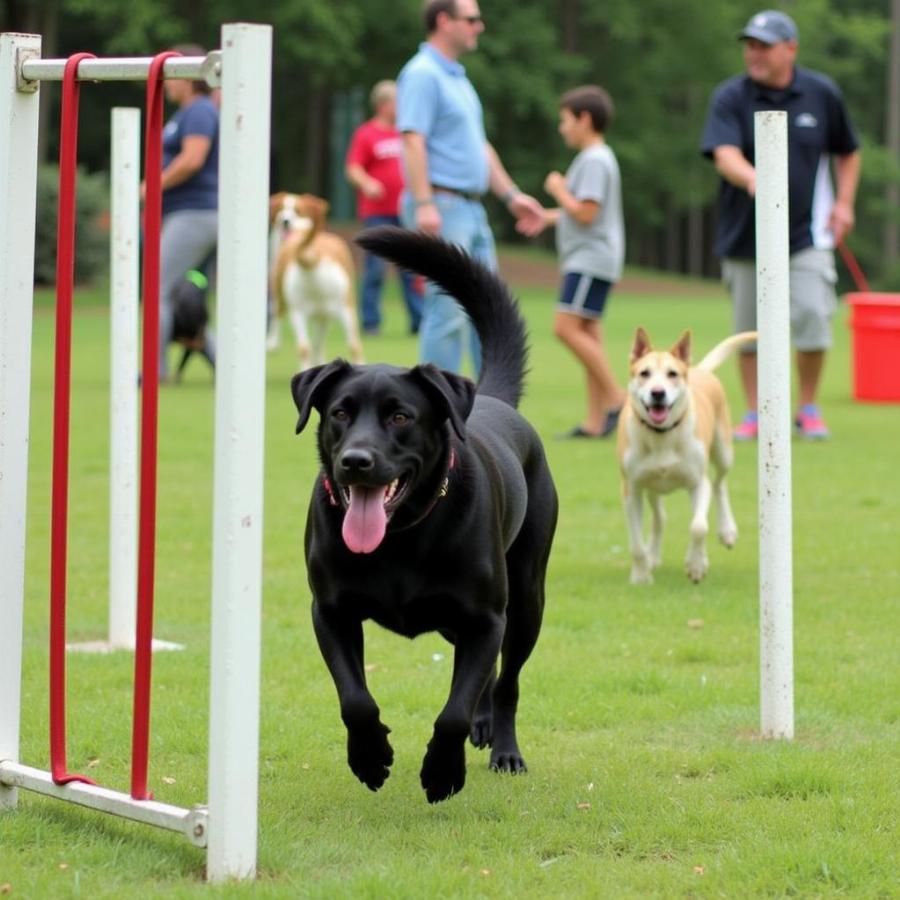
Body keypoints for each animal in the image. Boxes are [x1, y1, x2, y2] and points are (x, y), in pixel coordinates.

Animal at [268, 193, 366, 370]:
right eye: (280, 208)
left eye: (297, 210)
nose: (284, 220)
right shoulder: (318, 314)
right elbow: (314, 345)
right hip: (336, 309)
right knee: (348, 344)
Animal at [290, 225, 556, 800]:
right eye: (340, 412)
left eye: (400, 417)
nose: (356, 461)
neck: (401, 538)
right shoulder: (330, 611)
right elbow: (355, 698)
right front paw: (371, 757)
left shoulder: (485, 617)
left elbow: (454, 710)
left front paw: (441, 772)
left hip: (526, 599)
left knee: (507, 679)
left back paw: (503, 748)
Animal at [616, 326, 756, 588]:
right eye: (644, 373)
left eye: (672, 374)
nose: (657, 393)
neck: (662, 436)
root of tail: (699, 370)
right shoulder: (631, 488)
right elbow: (636, 541)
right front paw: (641, 575)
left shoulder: (698, 482)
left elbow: (699, 526)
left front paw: (696, 566)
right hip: (651, 485)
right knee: (659, 517)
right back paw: (652, 556)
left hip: (723, 450)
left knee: (719, 483)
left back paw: (727, 530)